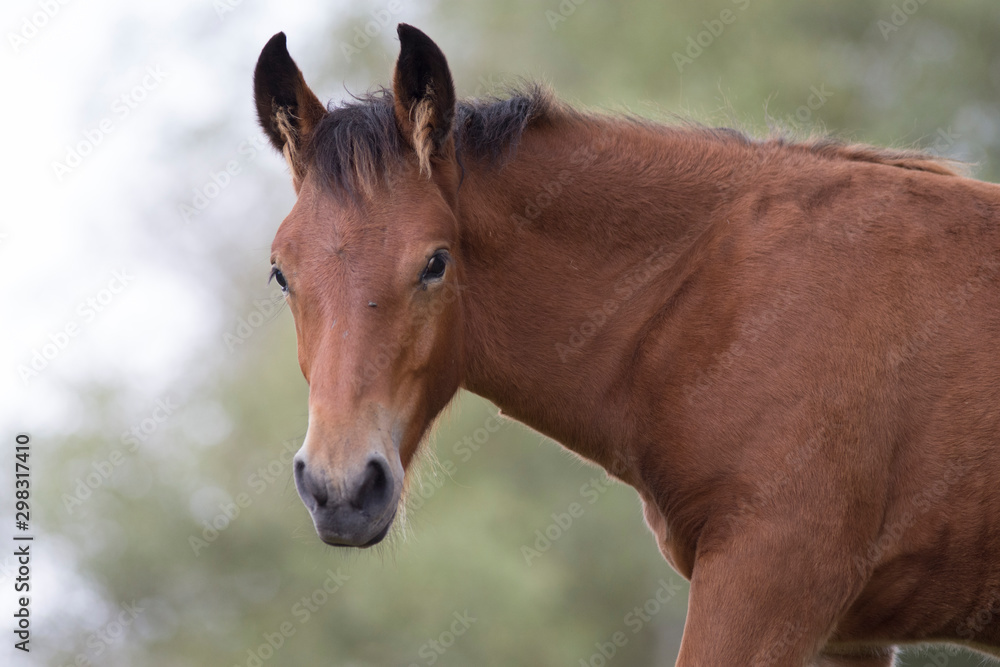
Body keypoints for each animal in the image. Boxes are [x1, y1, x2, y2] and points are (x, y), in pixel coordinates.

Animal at [252, 24, 1000, 666]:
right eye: (282, 272)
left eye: (435, 262)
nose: (341, 489)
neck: (721, 295)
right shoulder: (848, 637)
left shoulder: (769, 583)